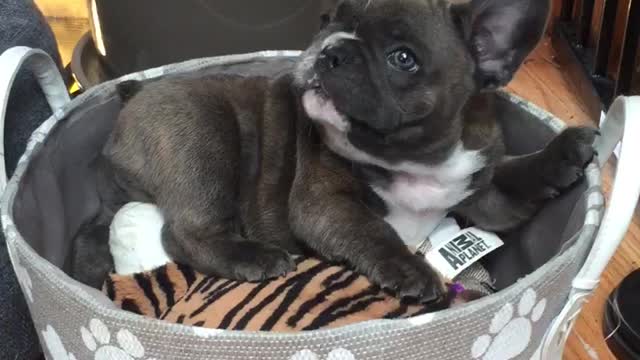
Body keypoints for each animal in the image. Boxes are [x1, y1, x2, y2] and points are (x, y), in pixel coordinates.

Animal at [74, 0, 596, 304]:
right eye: (327, 22)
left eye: (402, 58)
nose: (331, 47)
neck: (418, 160)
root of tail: (135, 94)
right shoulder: (324, 203)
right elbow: (373, 229)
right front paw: (412, 269)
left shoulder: (482, 192)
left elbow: (517, 179)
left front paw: (565, 152)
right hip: (200, 135)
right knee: (183, 234)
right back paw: (253, 257)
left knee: (93, 228)